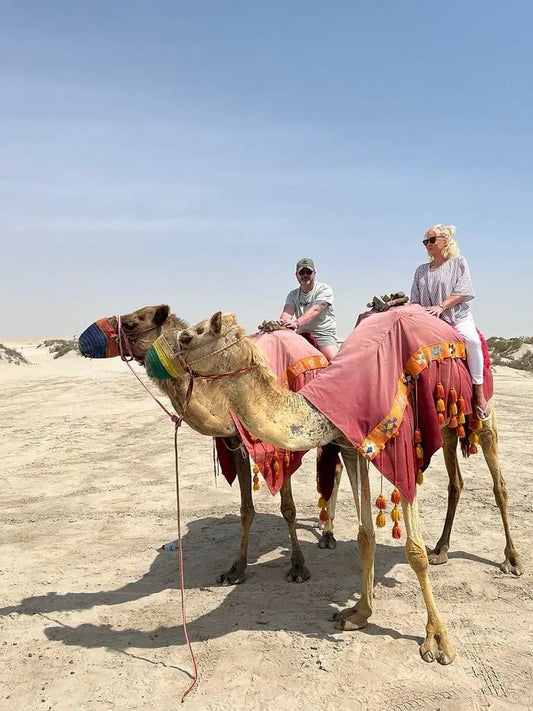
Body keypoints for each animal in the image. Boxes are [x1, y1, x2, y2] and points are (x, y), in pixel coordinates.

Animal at [78, 304, 343, 585]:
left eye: (130, 324)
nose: (83, 340)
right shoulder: (235, 443)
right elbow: (246, 509)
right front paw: (236, 568)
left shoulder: (278, 448)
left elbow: (288, 508)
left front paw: (298, 567)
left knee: (334, 470)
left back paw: (327, 534)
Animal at [150, 309, 523, 664]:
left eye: (189, 336)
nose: (160, 355)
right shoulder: (352, 448)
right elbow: (364, 536)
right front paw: (359, 613)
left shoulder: (402, 446)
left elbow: (413, 551)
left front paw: (437, 640)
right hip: (445, 424)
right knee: (455, 482)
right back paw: (442, 550)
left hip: (482, 412)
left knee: (499, 483)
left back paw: (512, 560)